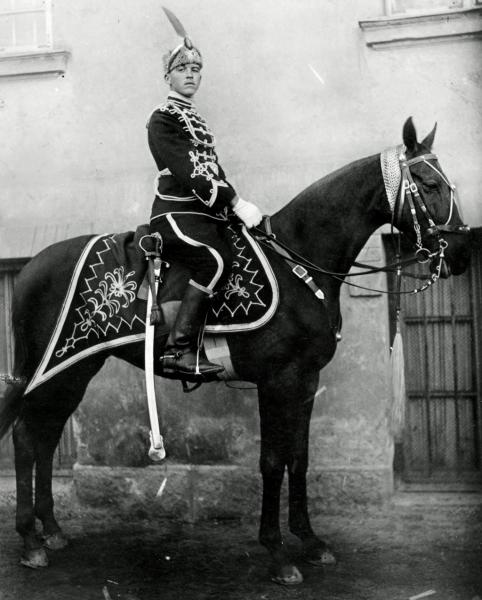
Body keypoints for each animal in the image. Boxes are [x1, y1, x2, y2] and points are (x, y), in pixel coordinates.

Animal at [0, 117, 470, 584]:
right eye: (429, 184)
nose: (462, 254)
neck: (299, 263)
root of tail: (33, 265)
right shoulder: (278, 381)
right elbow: (273, 462)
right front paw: (277, 553)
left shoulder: (306, 381)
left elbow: (299, 459)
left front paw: (310, 541)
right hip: (55, 367)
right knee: (25, 436)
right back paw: (30, 540)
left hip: (76, 368)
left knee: (46, 436)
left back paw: (52, 529)